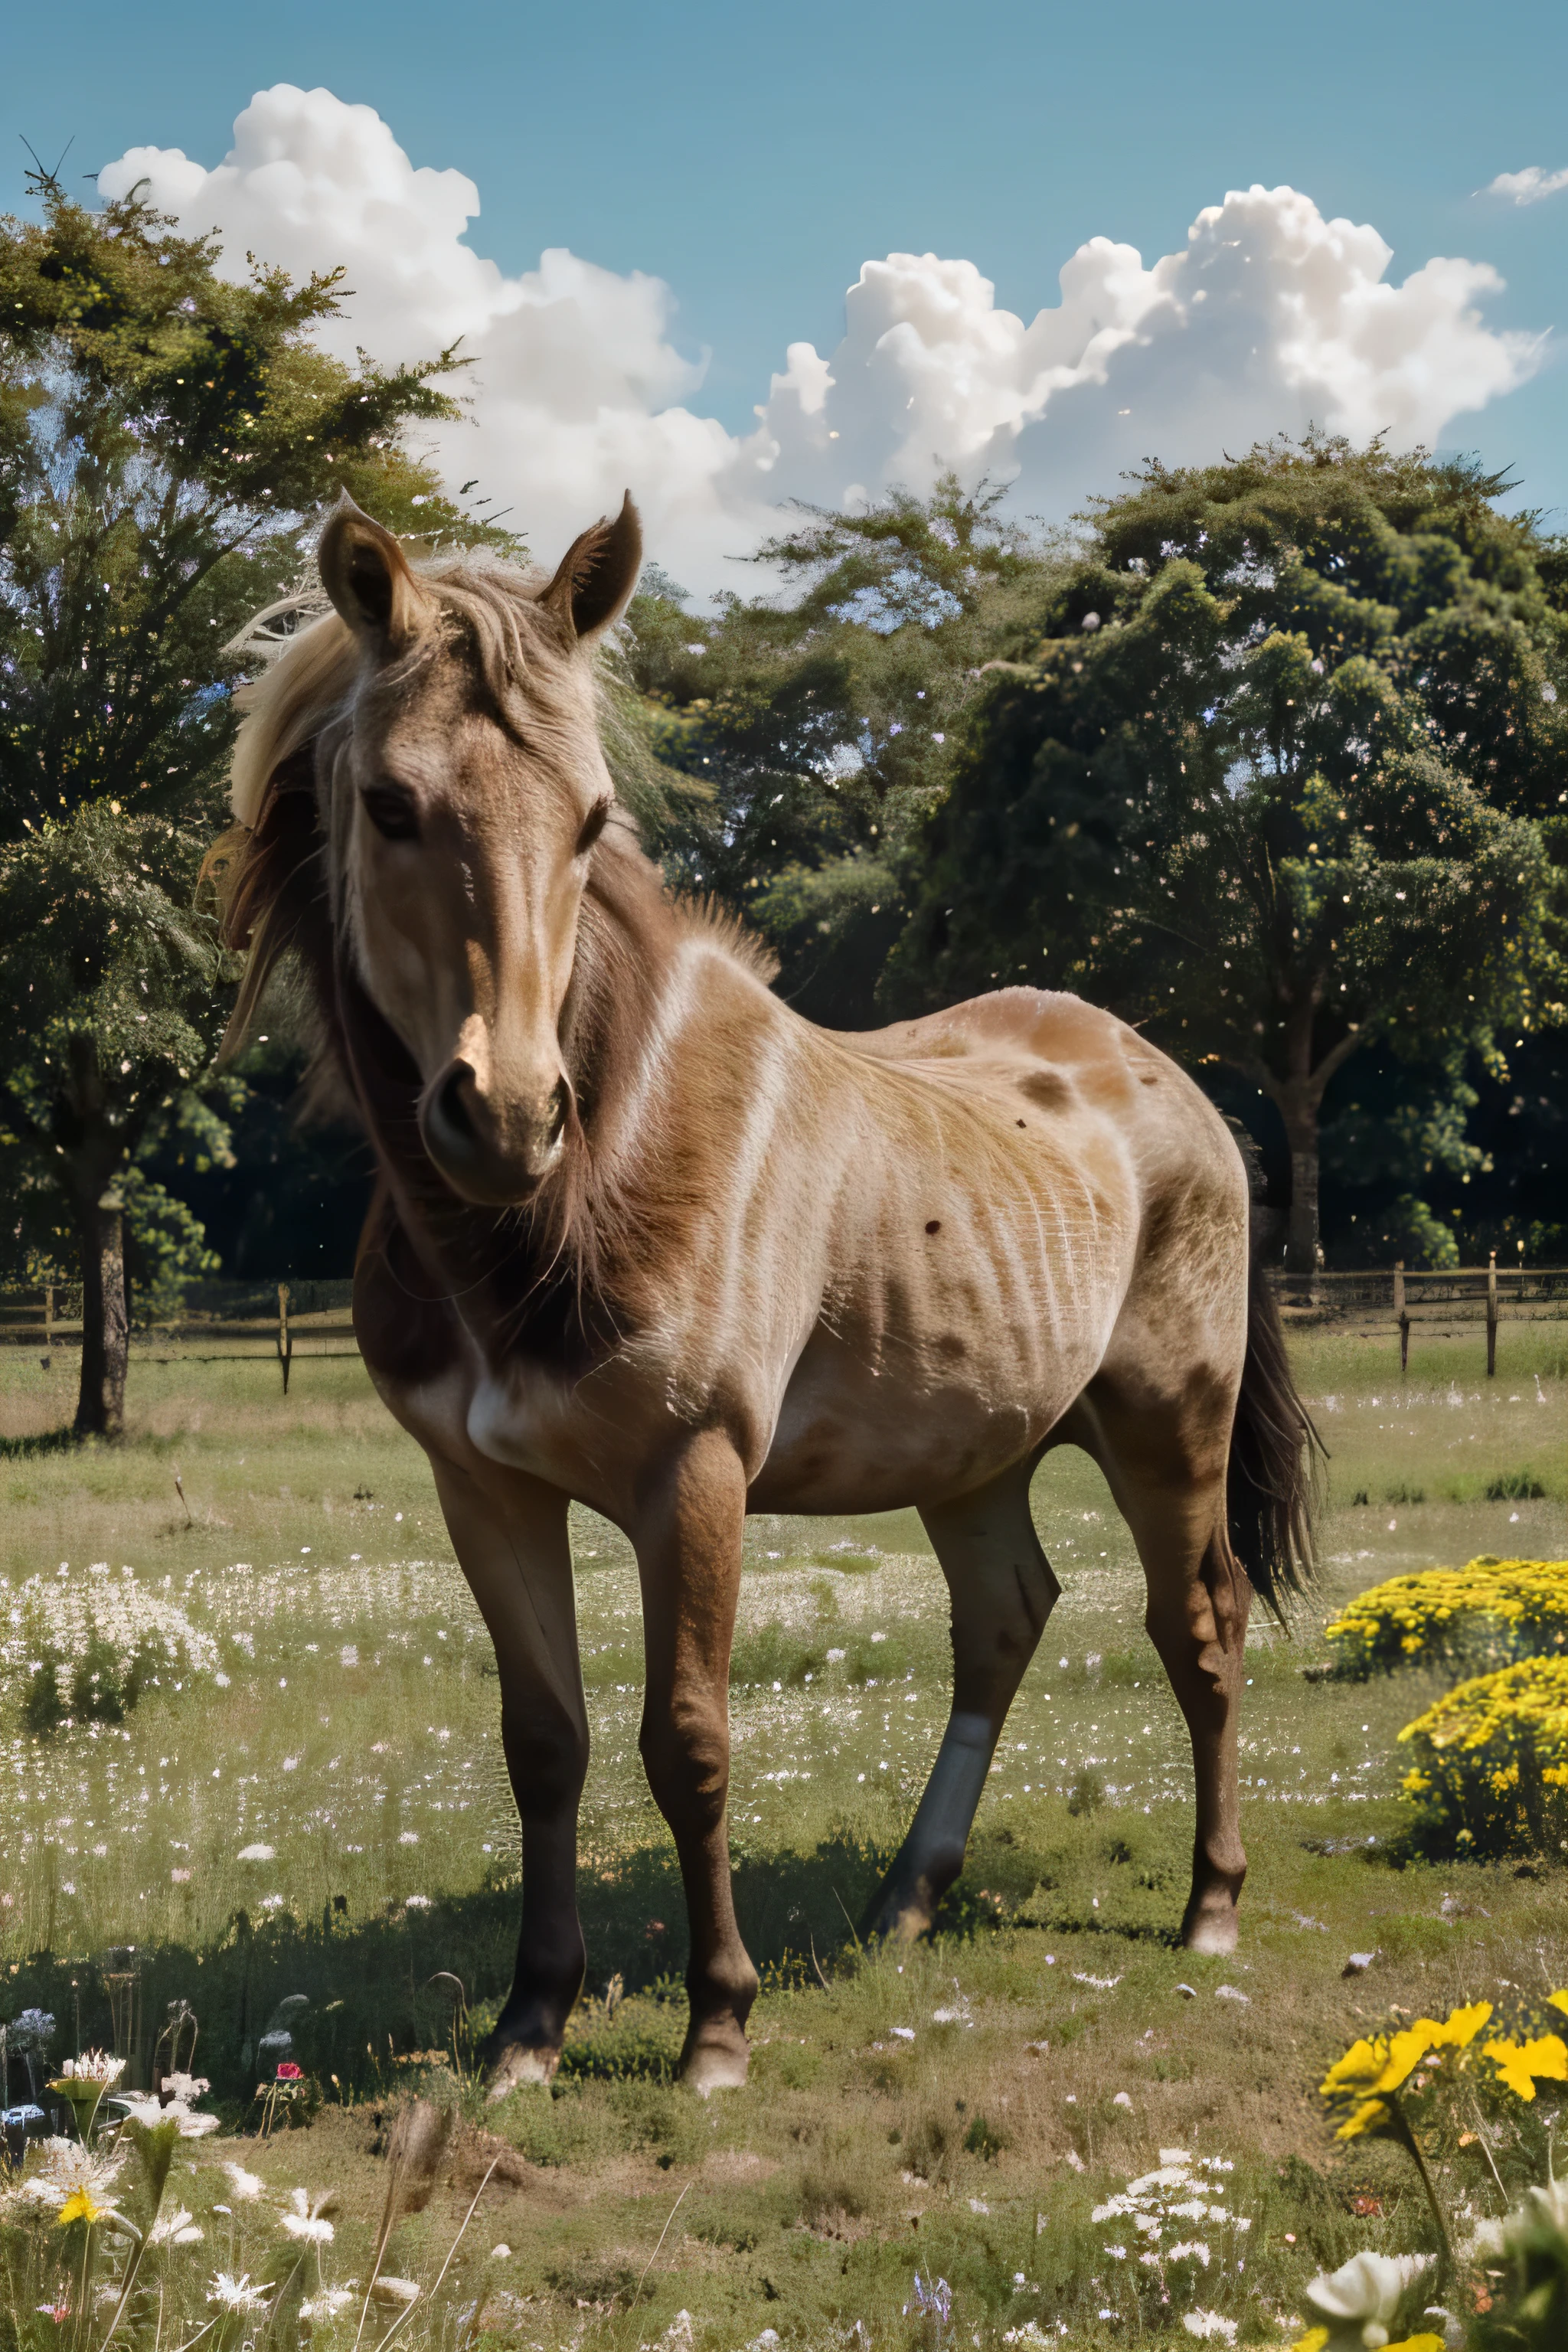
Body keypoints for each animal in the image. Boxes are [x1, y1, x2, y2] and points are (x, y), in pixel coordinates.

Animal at [214, 492, 1316, 2098]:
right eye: (390, 806)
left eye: (591, 818)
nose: (508, 1115)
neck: (585, 1186)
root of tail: (1174, 1077)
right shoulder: (480, 1487)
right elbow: (543, 1743)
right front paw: (531, 2022)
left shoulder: (696, 1474)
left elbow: (688, 1740)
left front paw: (716, 2022)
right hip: (972, 1445)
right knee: (1005, 1616)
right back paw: (906, 1900)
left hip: (1164, 1422)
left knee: (1200, 1625)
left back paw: (1211, 1902)